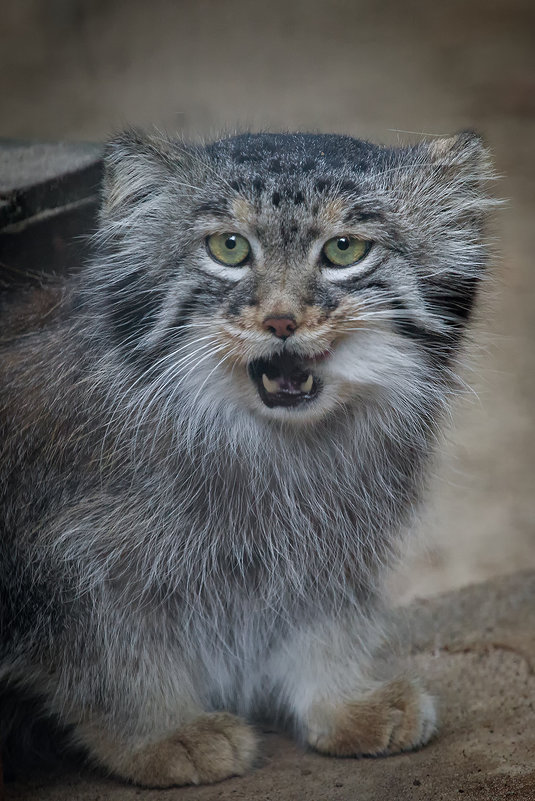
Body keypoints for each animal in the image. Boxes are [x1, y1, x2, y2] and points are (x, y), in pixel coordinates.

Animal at [0, 131, 494, 788]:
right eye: (228, 247)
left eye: (344, 249)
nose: (281, 321)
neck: (273, 450)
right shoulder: (60, 559)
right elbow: (107, 658)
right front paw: (161, 734)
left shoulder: (330, 536)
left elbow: (324, 616)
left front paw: (341, 701)